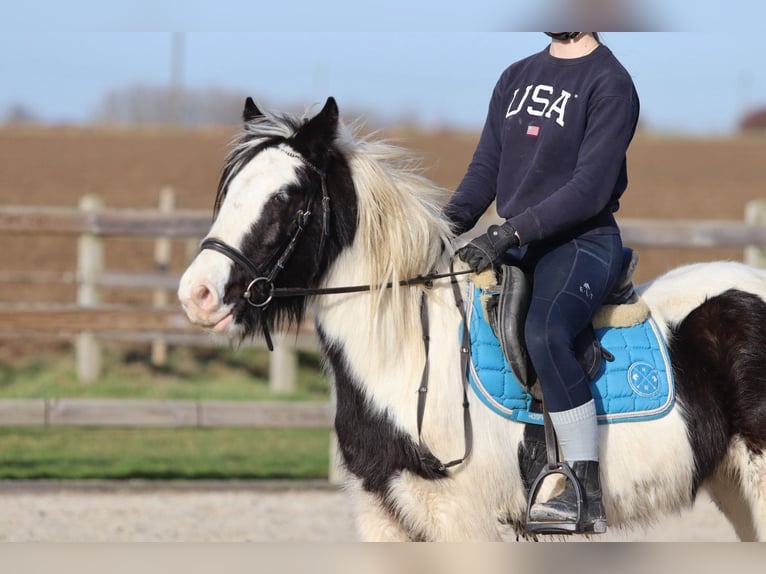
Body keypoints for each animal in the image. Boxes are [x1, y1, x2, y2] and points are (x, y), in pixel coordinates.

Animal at [178, 97, 766, 541]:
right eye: (228, 191)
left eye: (286, 197)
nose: (196, 294)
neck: (410, 355)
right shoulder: (383, 515)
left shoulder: (461, 520)